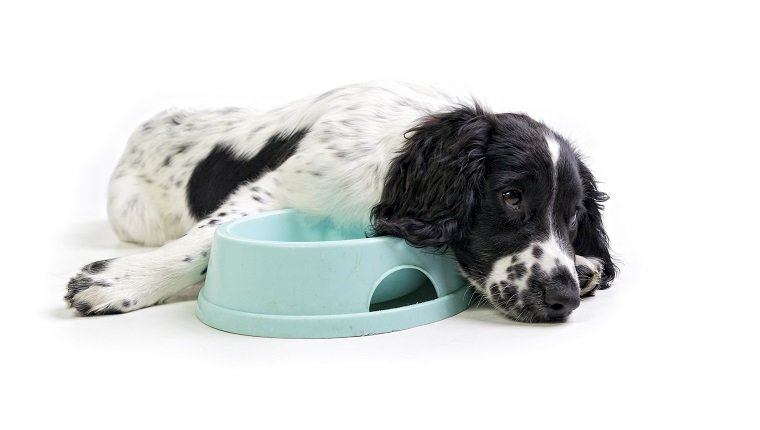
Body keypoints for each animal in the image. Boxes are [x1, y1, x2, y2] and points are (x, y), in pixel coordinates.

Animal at [65, 80, 616, 322]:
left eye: (572, 218)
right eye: (510, 196)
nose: (563, 299)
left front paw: (586, 264)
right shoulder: (274, 189)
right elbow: (202, 243)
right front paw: (122, 281)